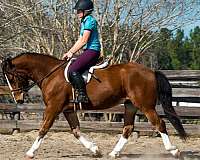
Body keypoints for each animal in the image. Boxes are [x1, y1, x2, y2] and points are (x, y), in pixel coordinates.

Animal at [0, 52, 187, 159]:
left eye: (11, 77)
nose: (18, 99)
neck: (50, 74)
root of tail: (151, 71)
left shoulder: (53, 108)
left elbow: (43, 129)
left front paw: (30, 152)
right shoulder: (68, 110)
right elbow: (76, 131)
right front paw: (95, 150)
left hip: (145, 106)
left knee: (159, 124)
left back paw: (174, 151)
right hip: (130, 105)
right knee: (128, 128)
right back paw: (113, 153)